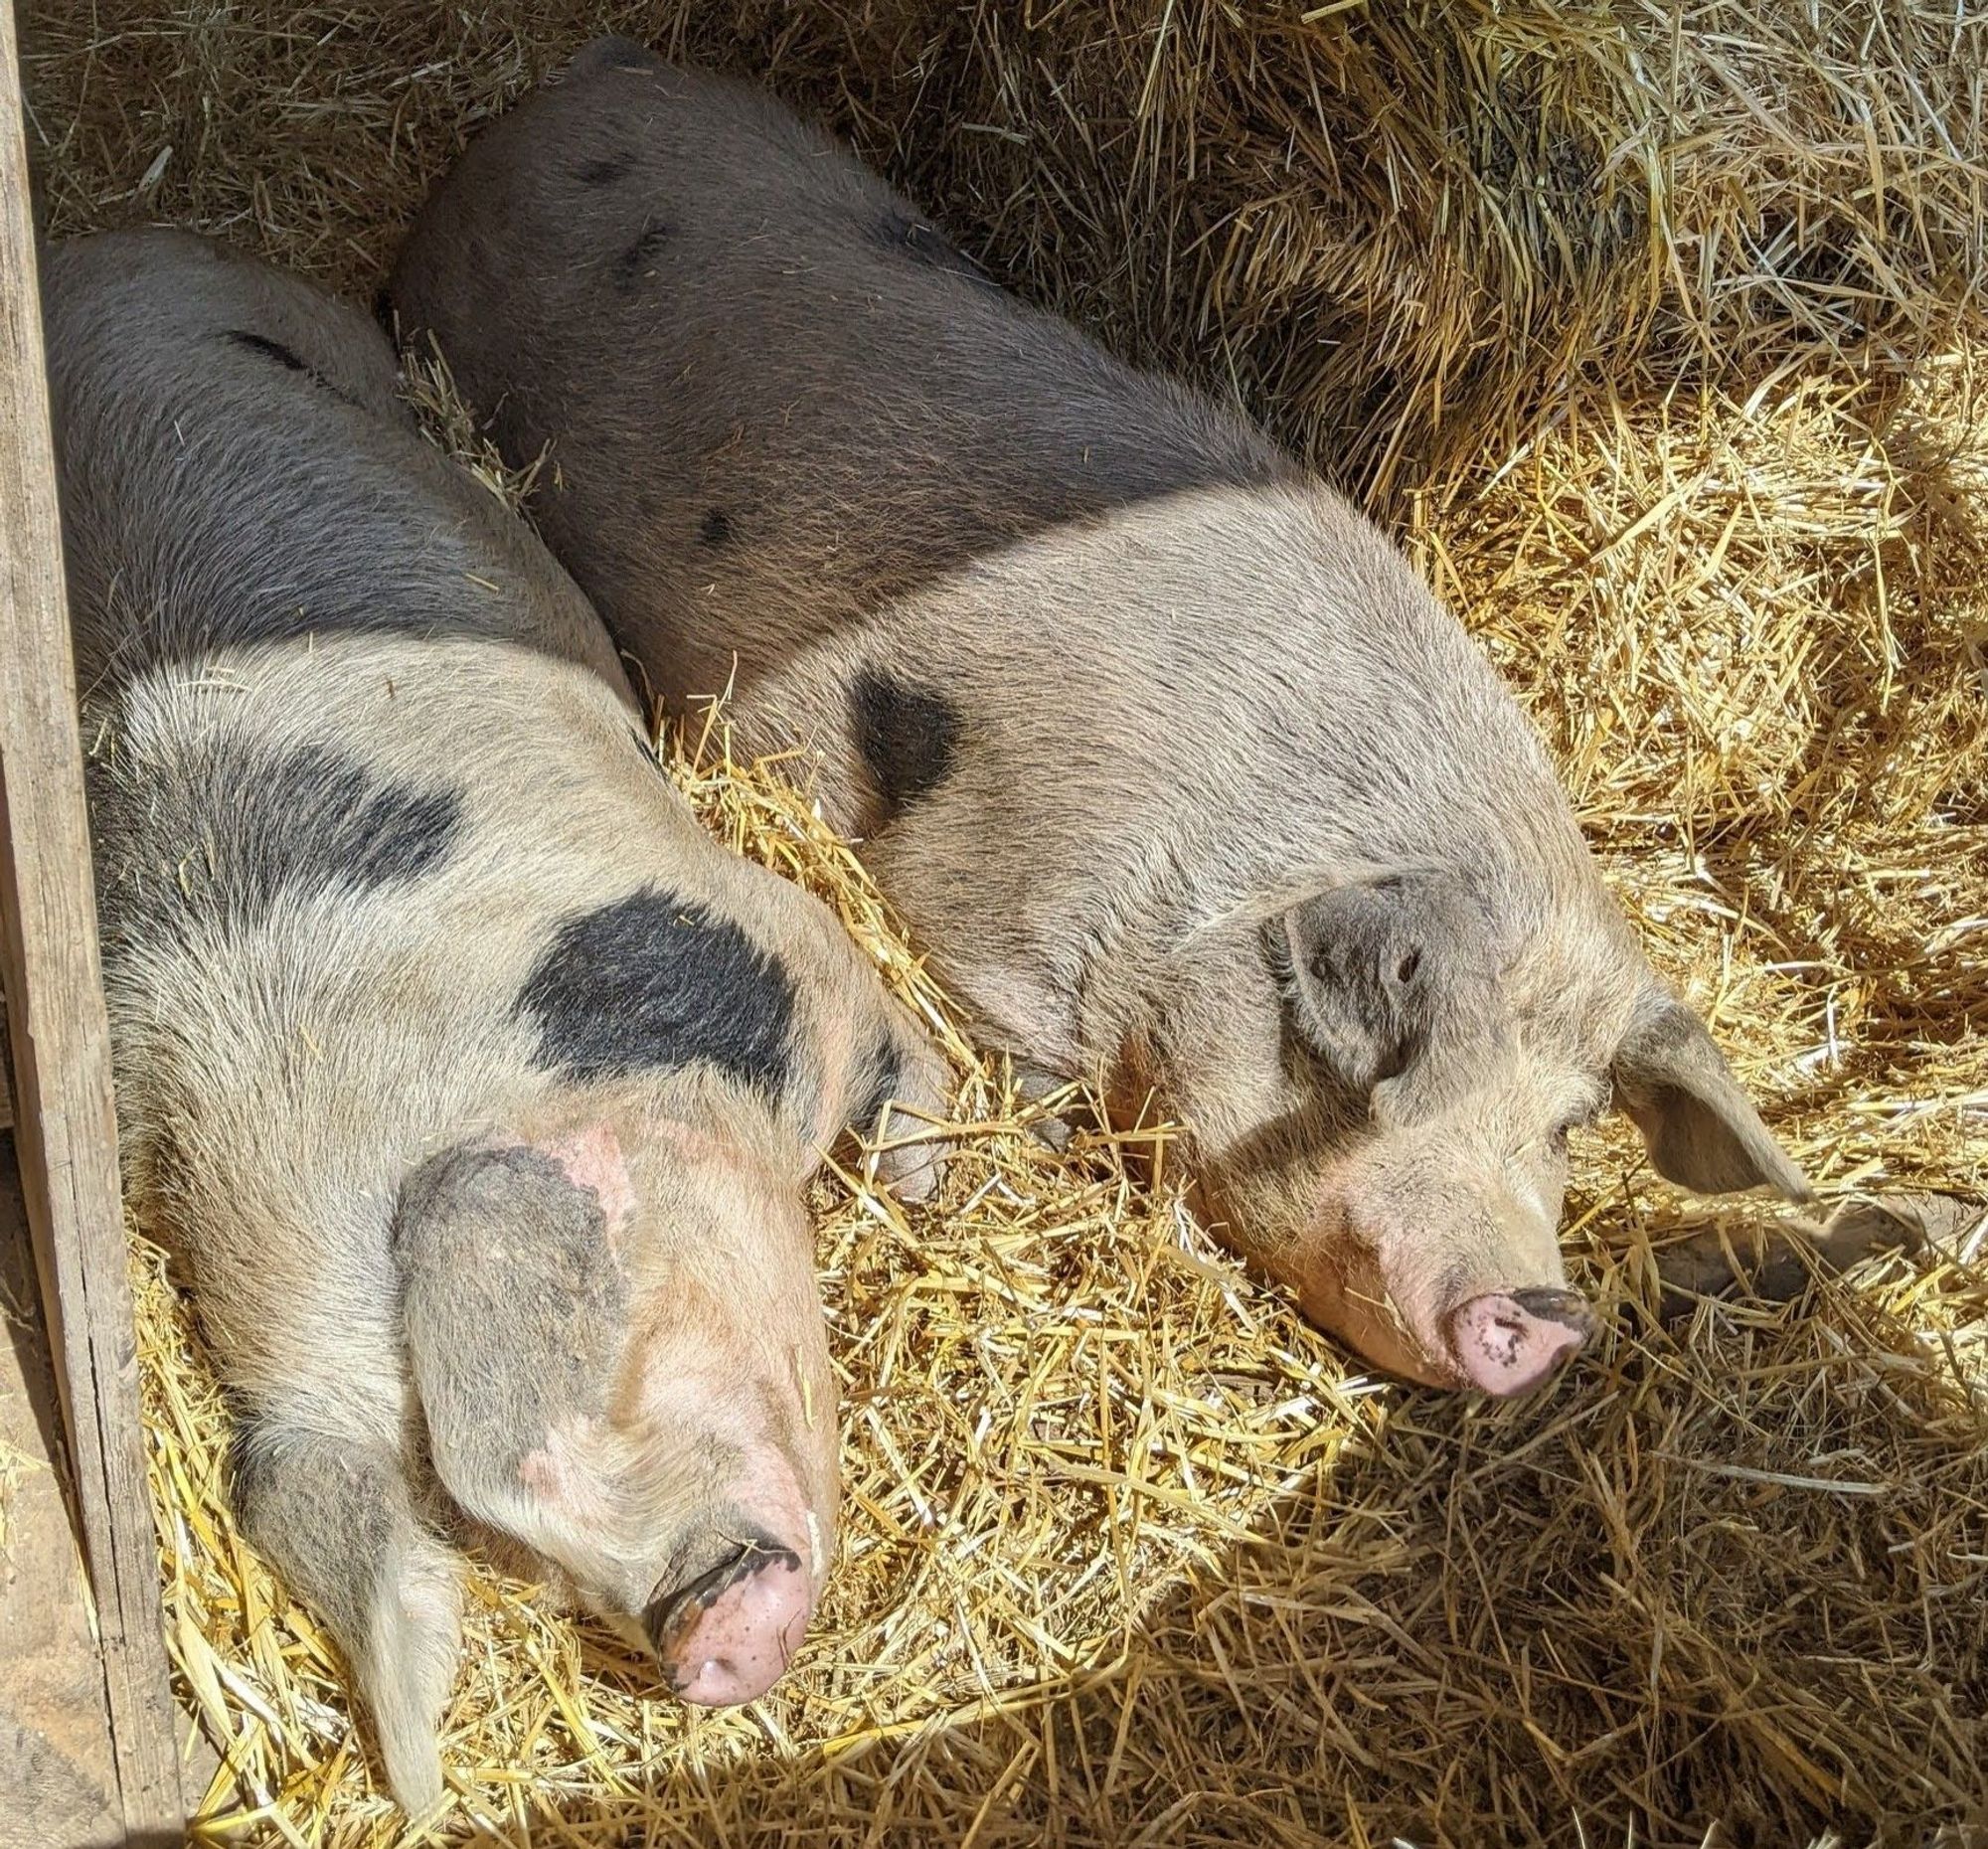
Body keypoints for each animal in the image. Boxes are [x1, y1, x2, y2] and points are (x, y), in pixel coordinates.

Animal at [45, 227, 946, 1805]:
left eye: (606, 1366)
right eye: (512, 1544)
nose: (703, 1634)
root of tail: (91, 252)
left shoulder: (780, 938)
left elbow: (906, 1059)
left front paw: (934, 1179)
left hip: (314, 335)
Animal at [380, 40, 1813, 1400]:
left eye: (1567, 1124)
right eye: (1405, 1063)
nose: (1548, 1313)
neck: (1240, 855)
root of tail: (565, 98)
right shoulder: (990, 892)